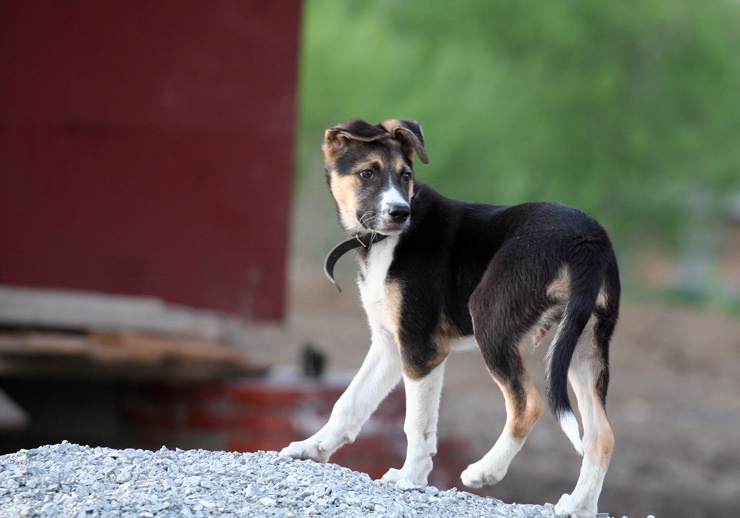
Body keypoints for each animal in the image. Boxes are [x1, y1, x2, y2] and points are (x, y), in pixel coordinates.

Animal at [281, 118, 620, 518]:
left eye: (406, 175)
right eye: (367, 173)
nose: (400, 213)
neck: (382, 242)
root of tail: (587, 239)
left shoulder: (420, 347)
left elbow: (416, 424)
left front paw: (410, 477)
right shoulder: (389, 345)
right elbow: (347, 404)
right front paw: (312, 448)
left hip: (491, 318)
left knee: (529, 404)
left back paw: (484, 472)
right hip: (583, 346)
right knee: (601, 434)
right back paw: (578, 505)